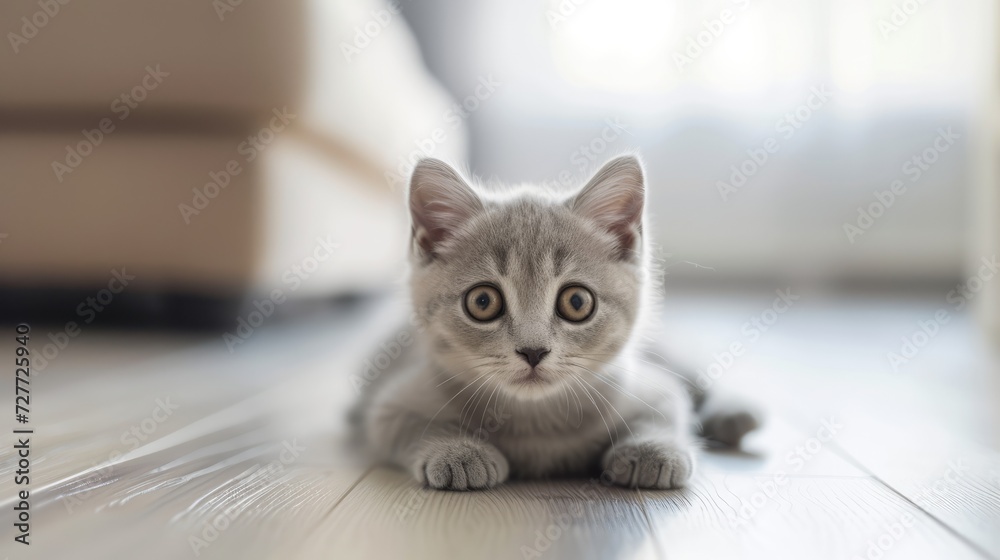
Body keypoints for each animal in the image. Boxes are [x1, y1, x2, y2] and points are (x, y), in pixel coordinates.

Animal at [360, 154, 756, 490]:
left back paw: (734, 413)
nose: (533, 351)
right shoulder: (389, 402)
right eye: (483, 302)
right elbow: (409, 426)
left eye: (577, 302)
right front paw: (457, 451)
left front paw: (652, 450)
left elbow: (666, 407)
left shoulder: (648, 385)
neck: (537, 420)